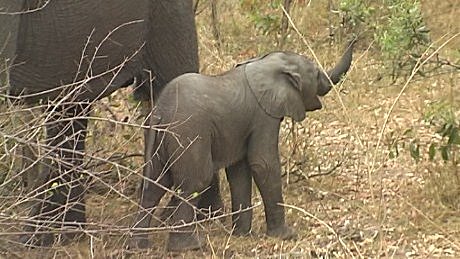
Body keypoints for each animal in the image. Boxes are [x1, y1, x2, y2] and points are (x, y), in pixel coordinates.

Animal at [131, 42, 354, 252]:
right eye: (316, 74)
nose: (354, 40)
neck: (264, 65)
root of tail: (160, 111)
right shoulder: (264, 115)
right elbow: (263, 164)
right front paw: (286, 235)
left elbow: (239, 171)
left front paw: (242, 235)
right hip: (188, 134)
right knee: (195, 181)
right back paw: (188, 246)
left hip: (158, 138)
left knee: (153, 185)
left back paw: (139, 246)